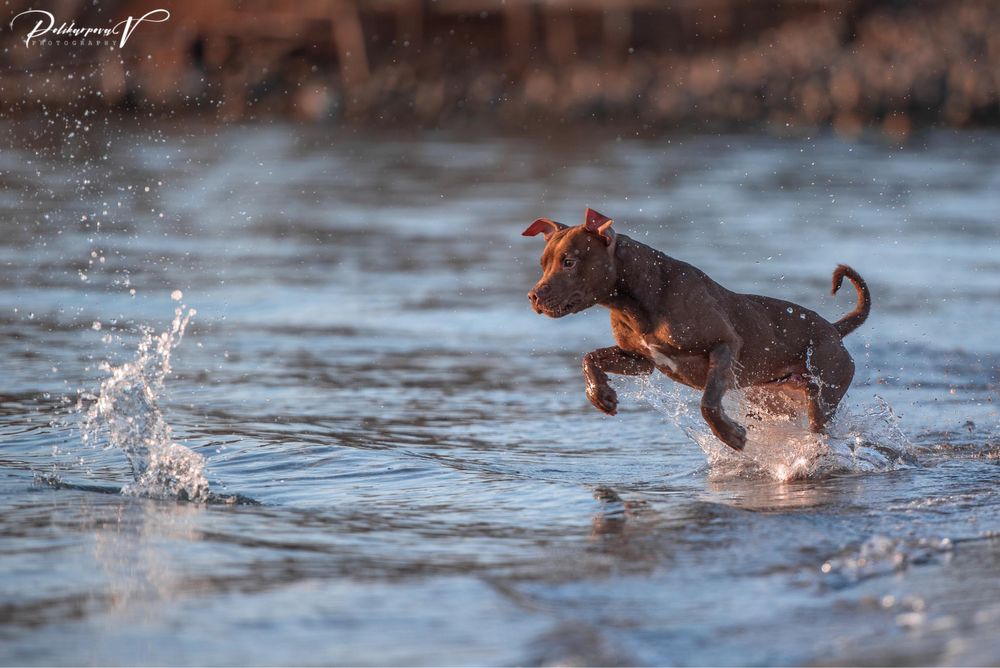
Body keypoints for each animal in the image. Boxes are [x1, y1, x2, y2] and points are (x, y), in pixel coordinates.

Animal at [524, 206, 868, 452]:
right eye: (543, 264)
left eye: (569, 262)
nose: (533, 296)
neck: (636, 297)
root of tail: (833, 330)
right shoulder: (641, 360)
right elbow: (589, 357)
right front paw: (601, 395)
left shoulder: (725, 344)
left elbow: (709, 402)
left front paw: (730, 436)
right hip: (771, 400)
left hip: (824, 392)